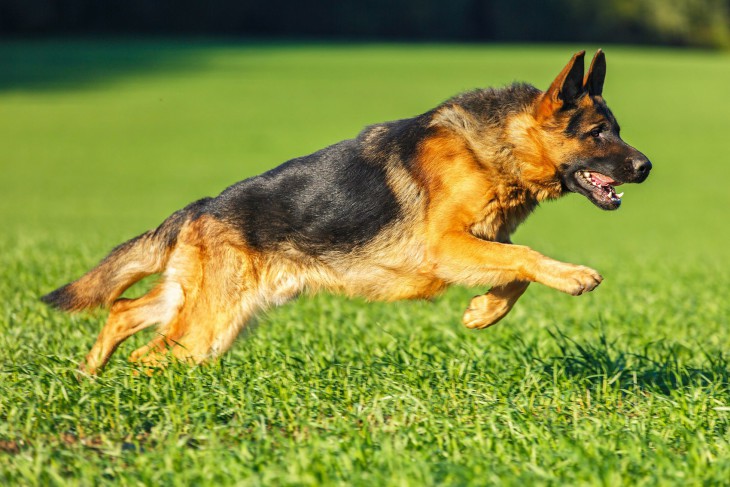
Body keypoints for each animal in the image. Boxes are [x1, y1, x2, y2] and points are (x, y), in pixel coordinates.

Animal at [44, 51, 648, 376]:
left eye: (617, 129)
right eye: (599, 133)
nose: (646, 167)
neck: (498, 144)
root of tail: (200, 208)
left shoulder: (474, 243)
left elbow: (516, 271)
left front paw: (482, 312)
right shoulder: (445, 246)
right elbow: (526, 256)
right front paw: (573, 277)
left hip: (201, 305)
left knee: (123, 310)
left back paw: (87, 376)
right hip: (207, 330)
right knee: (146, 354)